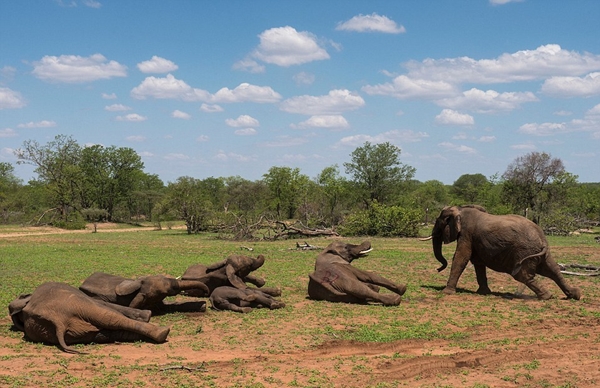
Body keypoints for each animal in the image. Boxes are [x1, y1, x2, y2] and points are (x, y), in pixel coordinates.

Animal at [8, 280, 170, 354]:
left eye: (21, 296)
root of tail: (58, 322)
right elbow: (104, 305)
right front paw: (147, 315)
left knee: (104, 332)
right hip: (76, 304)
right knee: (109, 317)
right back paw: (163, 332)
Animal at [424, 206, 584, 300]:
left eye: (439, 222)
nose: (438, 269)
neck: (460, 209)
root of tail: (542, 239)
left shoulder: (466, 234)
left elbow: (461, 258)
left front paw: (446, 292)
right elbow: (478, 263)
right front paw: (484, 292)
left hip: (524, 251)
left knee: (522, 275)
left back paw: (546, 297)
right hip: (541, 253)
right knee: (554, 270)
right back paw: (573, 295)